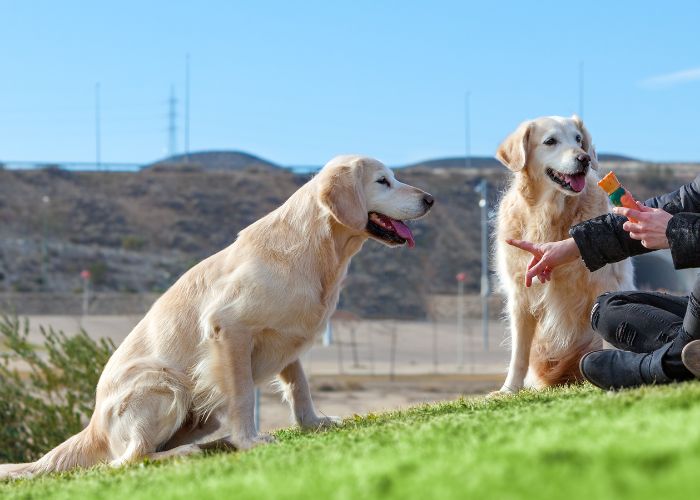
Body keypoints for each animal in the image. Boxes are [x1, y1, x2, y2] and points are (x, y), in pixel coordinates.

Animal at [0, 155, 432, 476]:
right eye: (383, 181)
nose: (430, 199)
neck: (317, 247)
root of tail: (94, 427)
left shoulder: (287, 337)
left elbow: (299, 386)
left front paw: (311, 423)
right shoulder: (229, 328)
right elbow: (242, 394)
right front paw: (250, 441)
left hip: (199, 406)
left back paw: (215, 444)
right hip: (166, 384)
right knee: (125, 459)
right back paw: (186, 453)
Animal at [492, 115, 636, 392]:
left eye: (578, 139)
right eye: (551, 141)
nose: (585, 159)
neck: (550, 214)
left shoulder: (606, 282)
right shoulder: (520, 294)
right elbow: (519, 353)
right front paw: (508, 390)